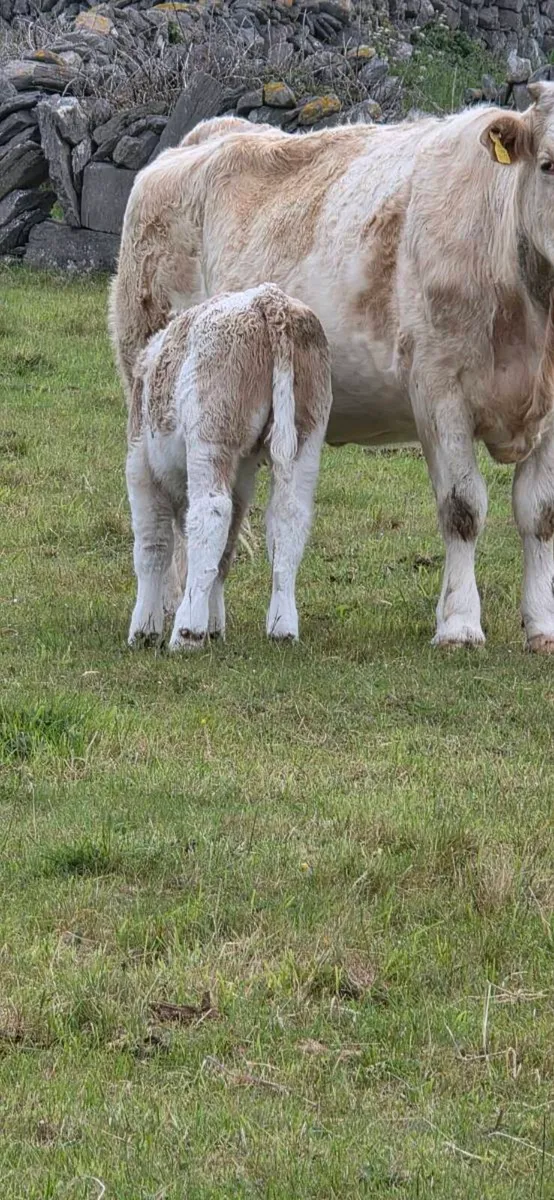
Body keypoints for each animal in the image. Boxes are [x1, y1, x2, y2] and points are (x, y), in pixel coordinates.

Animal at [110, 85, 554, 652]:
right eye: (547, 164)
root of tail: (207, 134)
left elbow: (538, 514)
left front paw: (541, 626)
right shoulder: (439, 392)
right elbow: (463, 509)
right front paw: (459, 625)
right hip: (148, 386)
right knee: (172, 514)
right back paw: (173, 605)